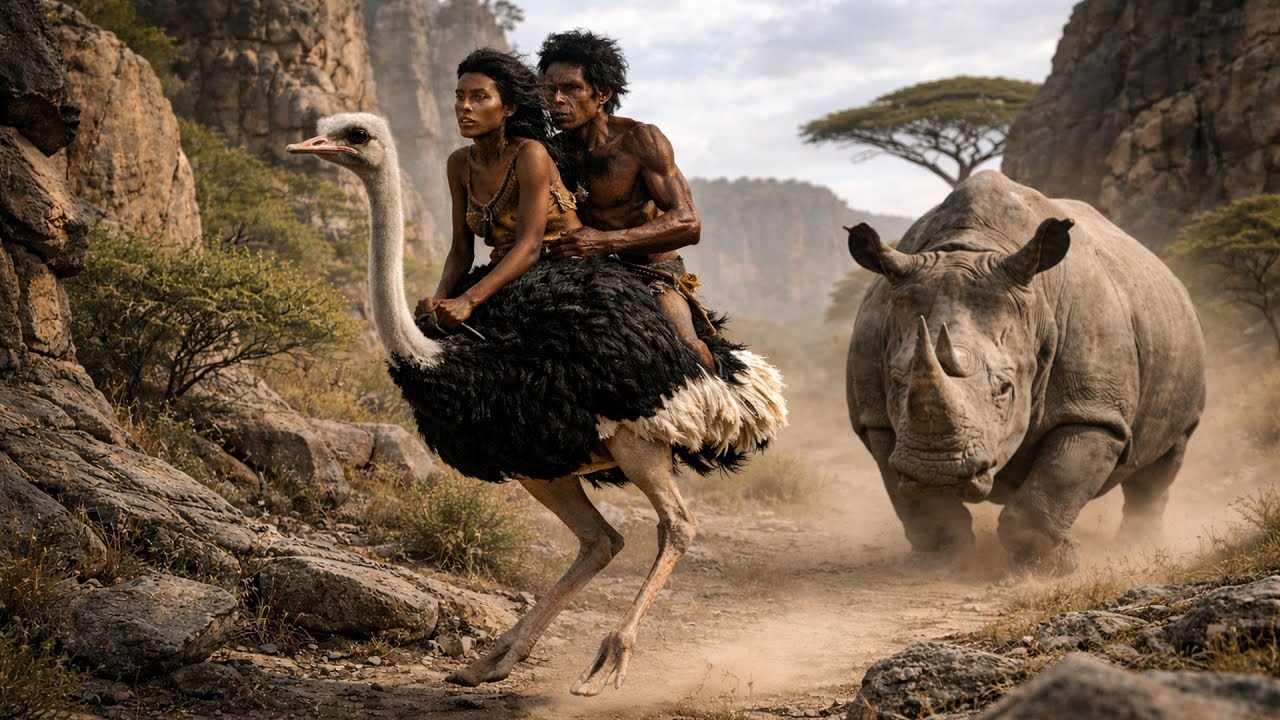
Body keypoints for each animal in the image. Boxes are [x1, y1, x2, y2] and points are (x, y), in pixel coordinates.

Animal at [846, 171, 1205, 573]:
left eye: (1004, 388)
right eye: (896, 381)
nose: (939, 469)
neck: (971, 247)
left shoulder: (1093, 411)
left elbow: (1052, 488)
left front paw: (1054, 565)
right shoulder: (876, 418)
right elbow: (916, 501)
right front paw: (945, 560)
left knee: (1166, 456)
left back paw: (1137, 544)